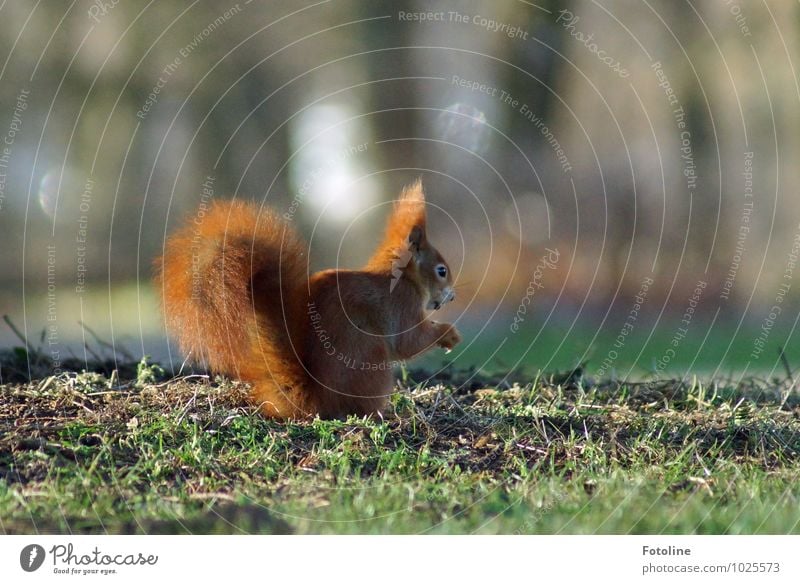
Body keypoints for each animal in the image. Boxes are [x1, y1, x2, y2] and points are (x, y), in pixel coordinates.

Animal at [155, 180, 462, 418]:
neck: (402, 278)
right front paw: (447, 334)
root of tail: (316, 400)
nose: (452, 296)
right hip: (372, 360)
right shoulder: (402, 304)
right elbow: (407, 342)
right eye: (441, 271)